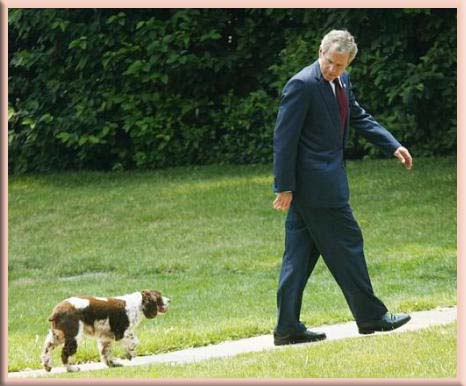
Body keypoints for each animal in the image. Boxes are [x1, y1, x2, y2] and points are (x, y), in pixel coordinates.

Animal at [41, 290, 169, 370]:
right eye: (159, 297)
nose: (170, 300)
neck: (137, 304)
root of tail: (56, 311)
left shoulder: (105, 337)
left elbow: (106, 352)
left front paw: (113, 364)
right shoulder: (123, 332)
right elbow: (134, 341)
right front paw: (130, 353)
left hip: (58, 334)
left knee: (47, 347)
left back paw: (47, 366)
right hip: (74, 335)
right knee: (64, 353)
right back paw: (71, 369)